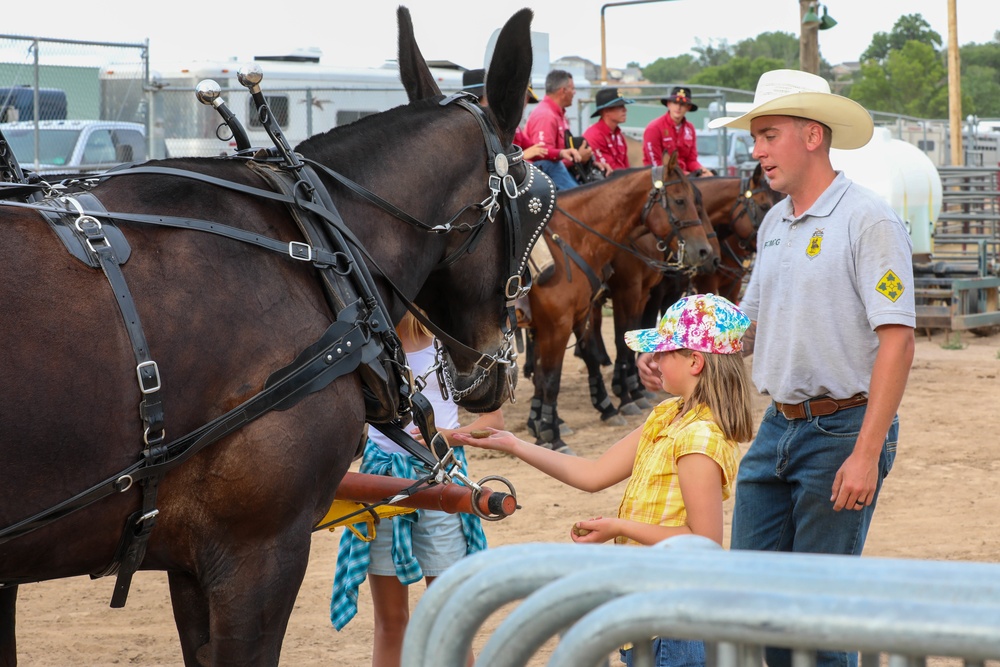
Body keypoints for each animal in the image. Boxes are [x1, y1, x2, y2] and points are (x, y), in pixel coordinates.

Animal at [524, 155, 712, 448]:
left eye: (697, 202)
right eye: (681, 200)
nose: (705, 252)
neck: (569, 240)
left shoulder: (580, 315)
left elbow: (564, 368)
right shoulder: (561, 324)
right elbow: (552, 378)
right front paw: (551, 434)